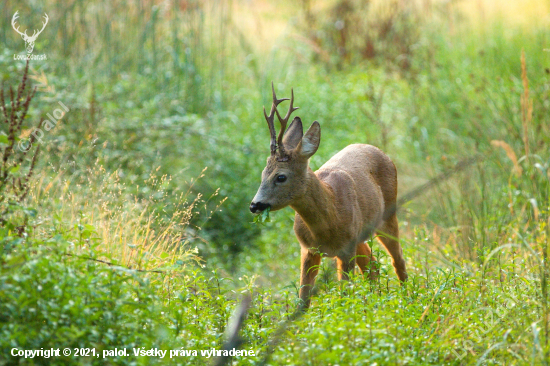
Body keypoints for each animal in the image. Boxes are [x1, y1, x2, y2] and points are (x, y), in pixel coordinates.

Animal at [251, 82, 410, 306]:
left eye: (281, 176)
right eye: (263, 173)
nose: (255, 205)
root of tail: (380, 151)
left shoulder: (345, 249)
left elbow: (345, 295)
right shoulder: (308, 250)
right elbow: (303, 300)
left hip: (388, 215)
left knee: (398, 260)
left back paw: (408, 300)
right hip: (361, 234)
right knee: (372, 265)